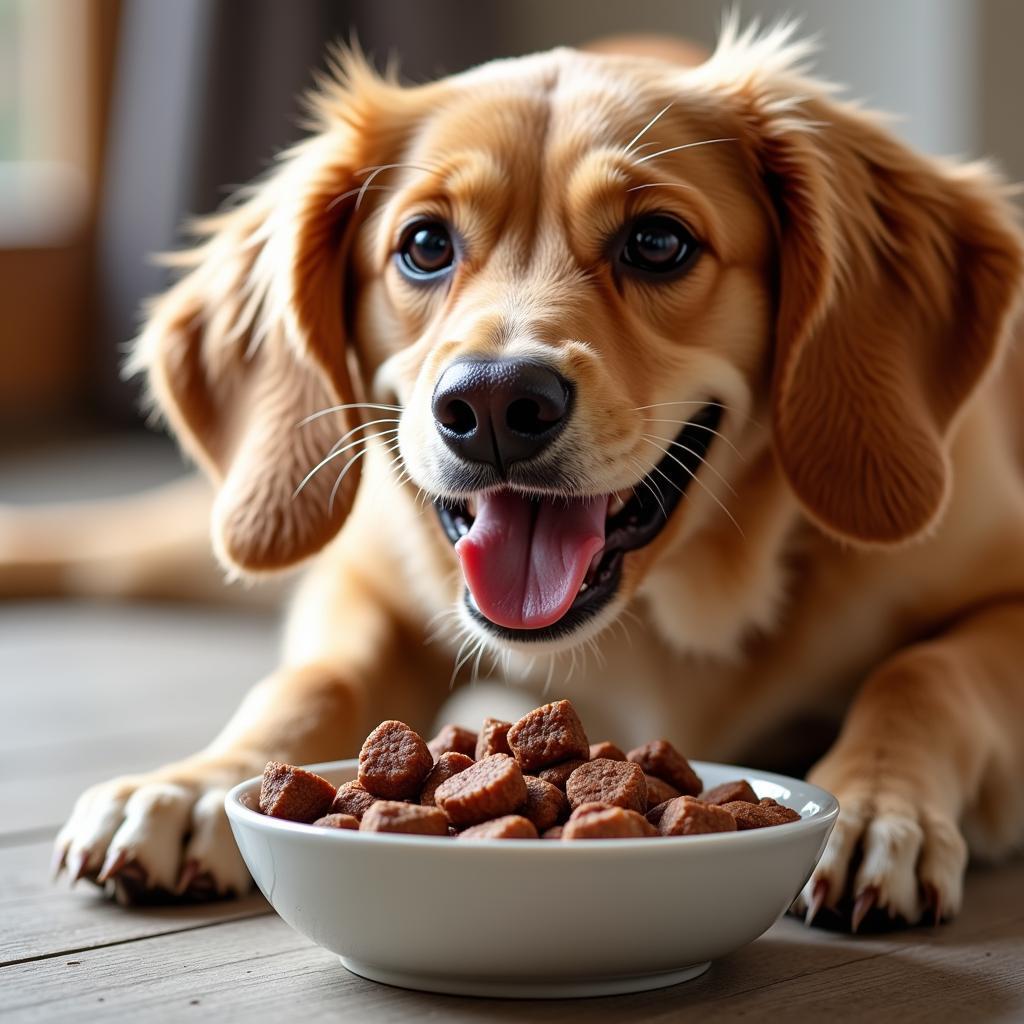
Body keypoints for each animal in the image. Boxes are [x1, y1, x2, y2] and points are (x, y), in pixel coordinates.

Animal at [9, 19, 1024, 925]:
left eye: (659, 242)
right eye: (424, 245)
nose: (494, 404)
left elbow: (922, 674)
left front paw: (881, 807)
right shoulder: (360, 584)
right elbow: (316, 682)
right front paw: (199, 783)